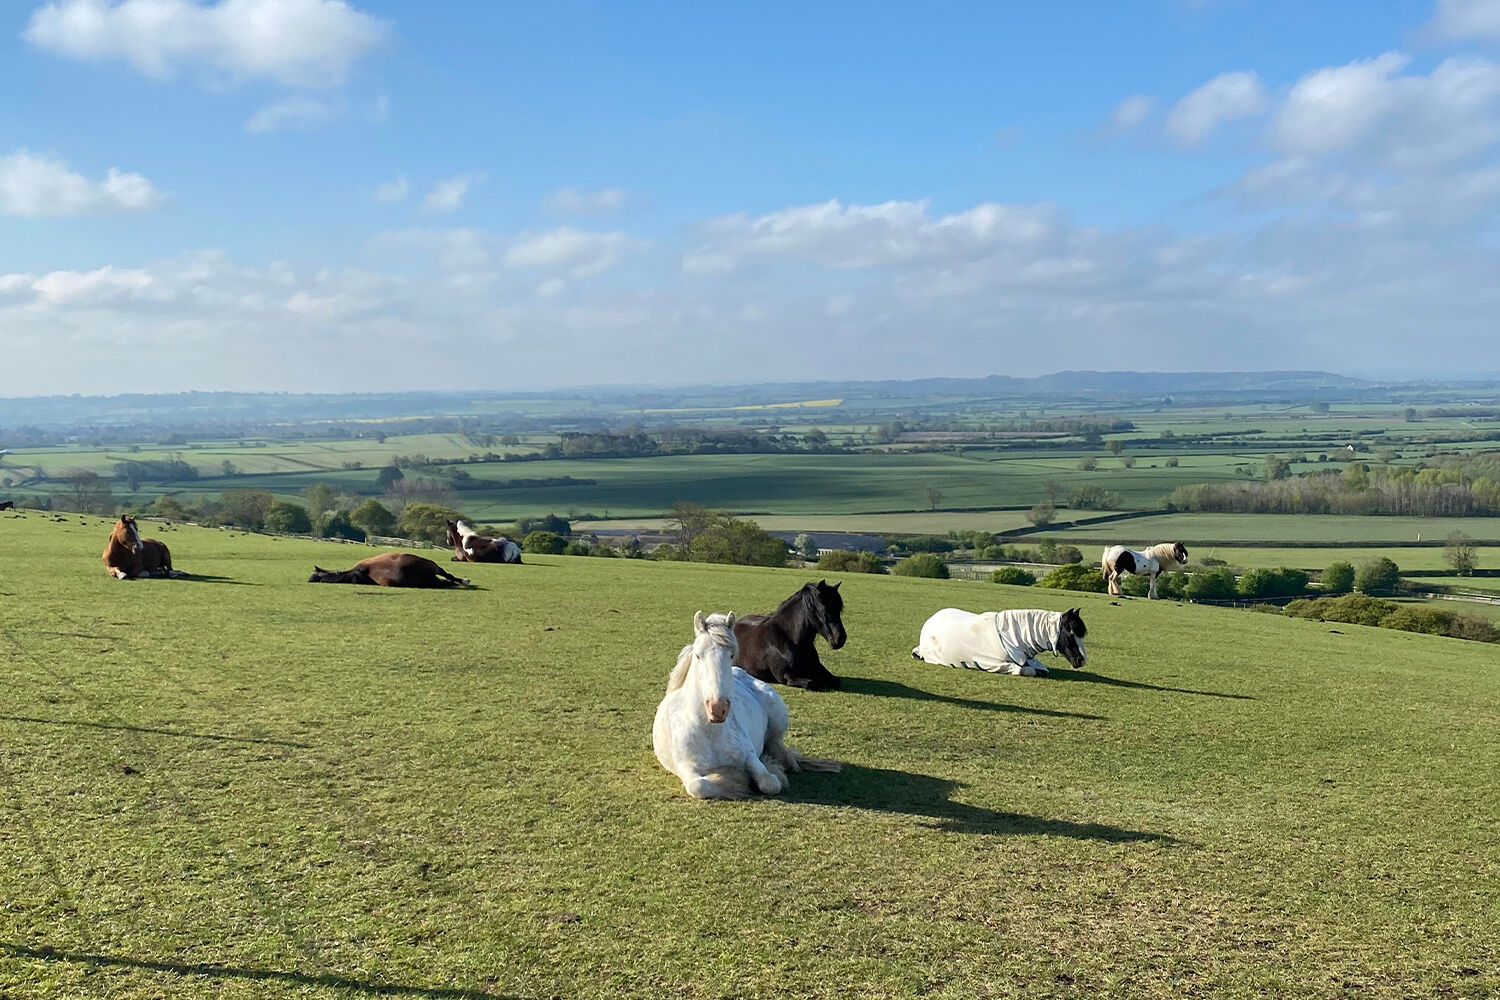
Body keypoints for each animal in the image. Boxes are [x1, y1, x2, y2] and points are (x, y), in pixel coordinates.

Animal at [906, 605, 1086, 677]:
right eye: (1070, 633)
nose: (1081, 660)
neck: (1014, 637)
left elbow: (1042, 669)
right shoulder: (992, 664)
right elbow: (1026, 670)